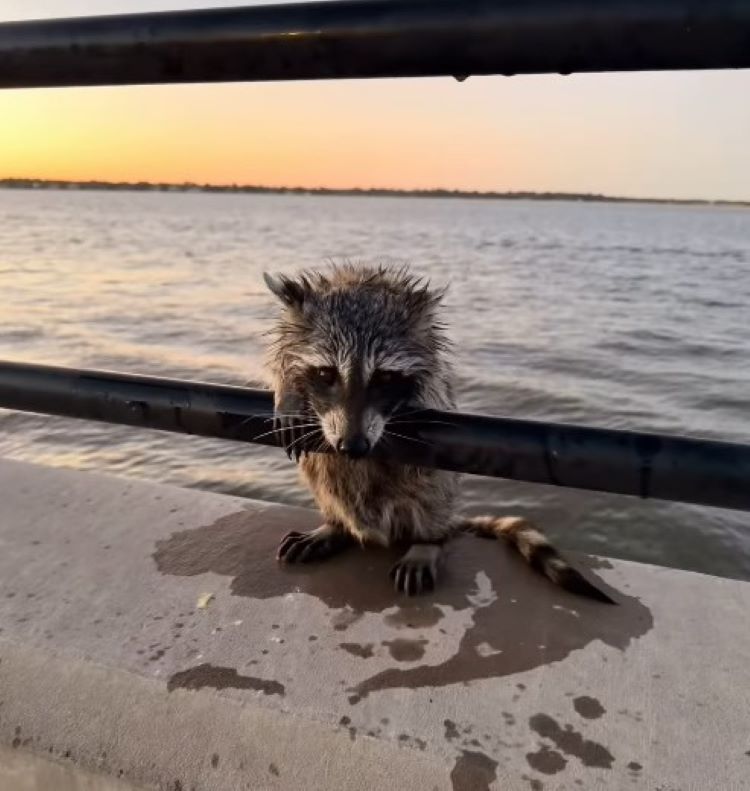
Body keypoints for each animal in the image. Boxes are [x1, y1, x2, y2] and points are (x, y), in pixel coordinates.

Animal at [264, 264, 612, 603]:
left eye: (384, 378)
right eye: (326, 374)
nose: (353, 446)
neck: (360, 285)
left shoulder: (432, 357)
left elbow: (436, 393)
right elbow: (281, 363)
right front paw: (288, 395)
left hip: (434, 497)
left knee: (430, 490)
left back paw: (427, 541)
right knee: (322, 475)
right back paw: (336, 526)